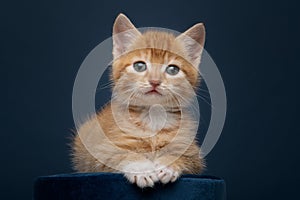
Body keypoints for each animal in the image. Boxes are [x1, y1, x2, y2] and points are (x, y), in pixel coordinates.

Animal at [71, 13, 206, 188]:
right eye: (140, 66)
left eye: (172, 69)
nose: (155, 81)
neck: (153, 117)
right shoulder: (100, 151)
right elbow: (123, 153)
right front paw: (143, 169)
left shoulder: (193, 152)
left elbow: (184, 156)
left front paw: (167, 166)